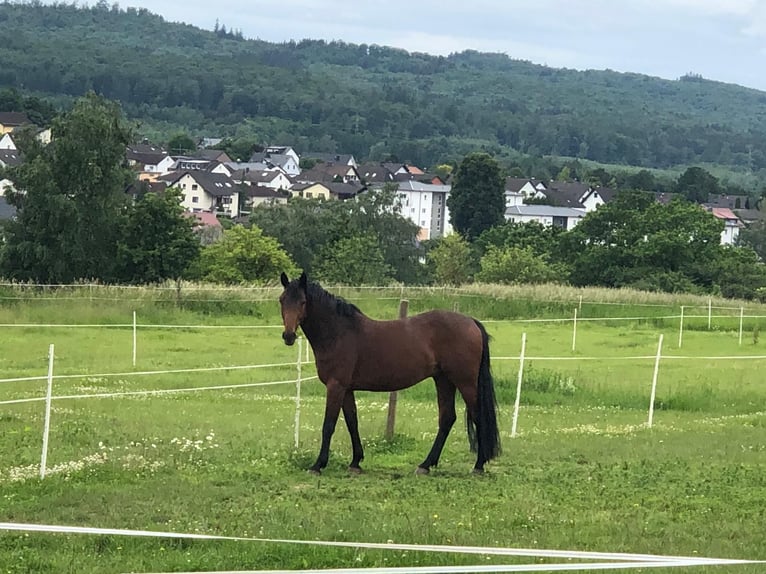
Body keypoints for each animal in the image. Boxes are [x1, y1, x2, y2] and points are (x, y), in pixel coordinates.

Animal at [280, 274, 500, 476]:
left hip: (466, 382)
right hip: (443, 380)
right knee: (447, 418)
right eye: (282, 300)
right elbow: (352, 422)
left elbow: (328, 425)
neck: (339, 332)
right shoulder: (347, 389)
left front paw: (318, 465)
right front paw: (355, 462)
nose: (288, 336)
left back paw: (478, 465)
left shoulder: (336, 386)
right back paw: (425, 465)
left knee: (478, 416)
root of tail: (471, 322)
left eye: (302, 302)